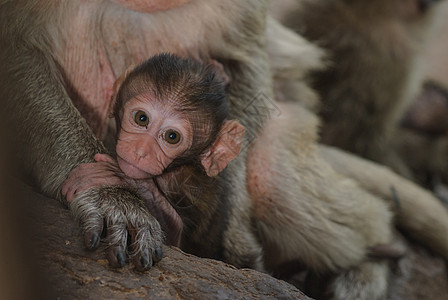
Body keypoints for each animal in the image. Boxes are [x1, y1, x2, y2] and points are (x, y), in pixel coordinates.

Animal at [62, 53, 245, 270]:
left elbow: (175, 237)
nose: (140, 151)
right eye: (141, 118)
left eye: (172, 137)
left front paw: (120, 179)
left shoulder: (192, 188)